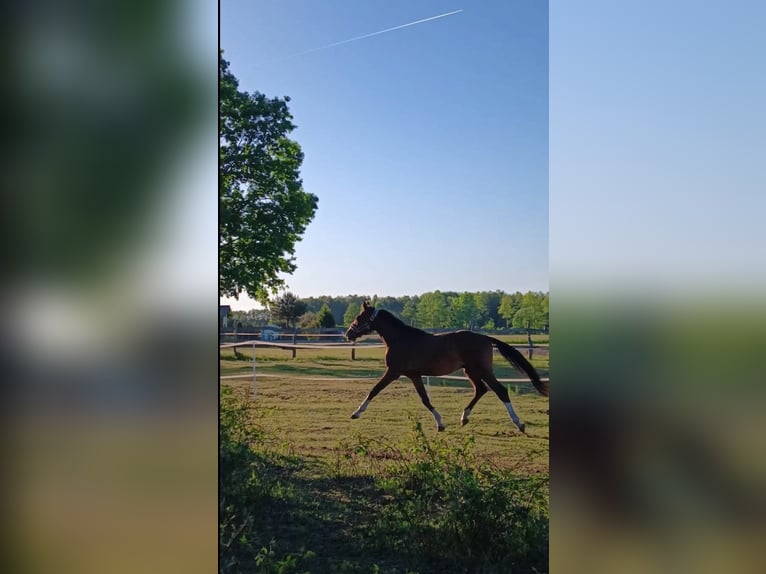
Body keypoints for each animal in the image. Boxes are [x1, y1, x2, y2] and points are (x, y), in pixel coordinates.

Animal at [345, 302, 548, 432]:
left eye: (358, 317)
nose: (348, 334)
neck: (400, 339)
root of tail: (485, 338)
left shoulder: (393, 372)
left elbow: (374, 390)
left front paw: (356, 413)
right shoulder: (414, 375)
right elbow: (425, 399)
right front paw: (440, 424)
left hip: (482, 370)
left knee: (500, 390)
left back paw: (519, 423)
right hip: (470, 371)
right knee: (481, 390)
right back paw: (464, 418)